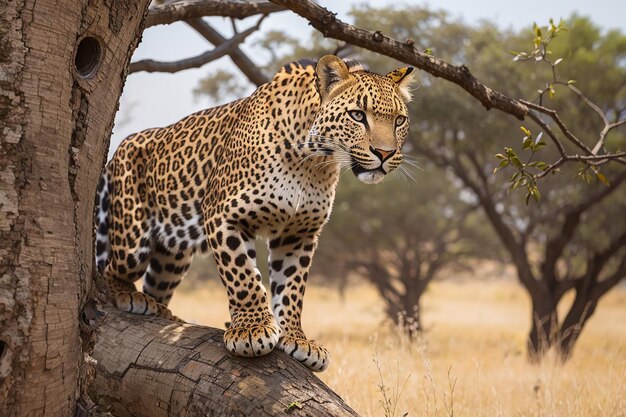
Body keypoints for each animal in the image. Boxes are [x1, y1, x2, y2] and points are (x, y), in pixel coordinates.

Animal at [94, 55, 414, 370]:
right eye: (358, 115)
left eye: (399, 120)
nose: (384, 153)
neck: (312, 161)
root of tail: (120, 147)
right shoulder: (223, 215)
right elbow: (243, 275)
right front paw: (251, 329)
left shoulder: (299, 232)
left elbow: (292, 286)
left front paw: (296, 338)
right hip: (132, 240)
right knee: (109, 269)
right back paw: (128, 295)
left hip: (172, 255)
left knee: (156, 284)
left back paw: (165, 313)